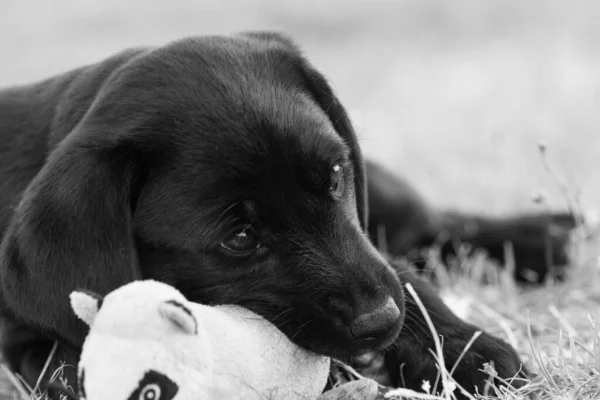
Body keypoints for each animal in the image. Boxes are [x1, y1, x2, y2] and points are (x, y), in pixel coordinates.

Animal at [0, 32, 568, 398]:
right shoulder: (27, 346)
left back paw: (549, 235)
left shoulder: (368, 240)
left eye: (335, 176)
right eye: (239, 237)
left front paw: (465, 349)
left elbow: (406, 275)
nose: (380, 322)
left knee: (432, 223)